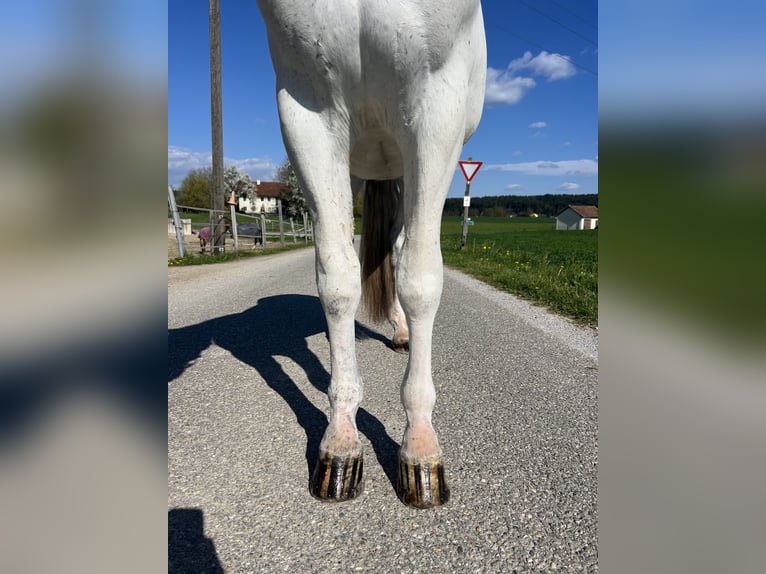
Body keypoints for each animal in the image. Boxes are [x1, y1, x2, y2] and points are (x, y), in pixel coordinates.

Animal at [255, 0, 486, 508]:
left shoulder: (435, 103)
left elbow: (419, 280)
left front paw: (420, 450)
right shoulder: (307, 112)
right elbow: (338, 280)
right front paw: (340, 444)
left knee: (401, 254)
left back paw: (402, 334)